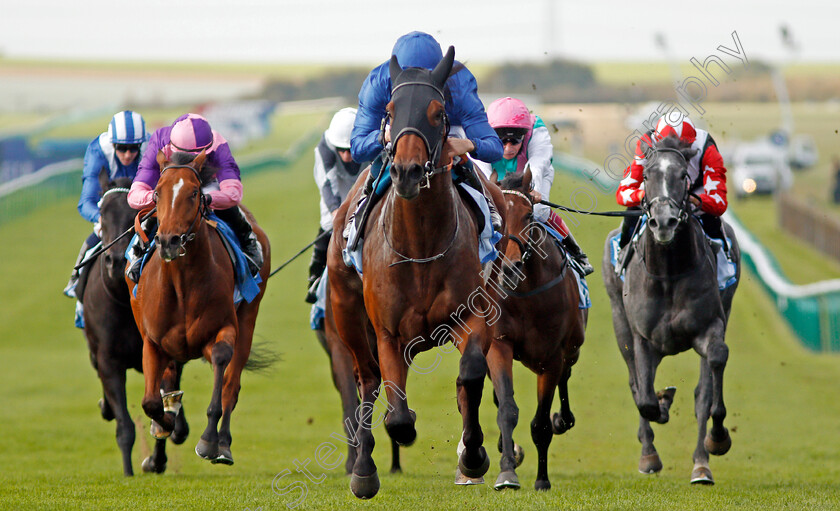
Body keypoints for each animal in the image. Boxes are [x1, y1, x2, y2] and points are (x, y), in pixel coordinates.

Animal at [80, 169, 189, 476]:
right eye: (102, 213)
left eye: (135, 215)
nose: (116, 261)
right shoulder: (109, 360)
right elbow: (125, 427)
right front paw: (129, 473)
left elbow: (167, 415)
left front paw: (155, 460)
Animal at [127, 150, 270, 466]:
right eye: (157, 193)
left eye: (194, 193)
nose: (168, 241)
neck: (182, 284)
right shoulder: (152, 341)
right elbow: (151, 402)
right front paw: (166, 424)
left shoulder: (222, 328)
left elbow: (221, 364)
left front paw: (209, 441)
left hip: (249, 317)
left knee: (231, 385)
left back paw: (223, 443)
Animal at [488, 169, 588, 492]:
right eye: (497, 218)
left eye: (529, 215)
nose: (509, 269)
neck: (525, 293)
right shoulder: (499, 344)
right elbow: (506, 409)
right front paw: (507, 471)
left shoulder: (551, 358)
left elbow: (541, 424)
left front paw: (542, 480)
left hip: (572, 348)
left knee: (567, 375)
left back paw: (564, 419)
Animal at [600, 134, 740, 486]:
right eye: (647, 175)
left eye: (682, 176)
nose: (664, 222)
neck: (668, 272)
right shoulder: (642, 338)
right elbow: (646, 399)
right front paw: (661, 406)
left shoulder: (710, 325)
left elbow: (713, 373)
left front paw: (718, 439)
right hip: (619, 321)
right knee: (636, 385)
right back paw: (648, 454)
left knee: (703, 392)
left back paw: (702, 464)